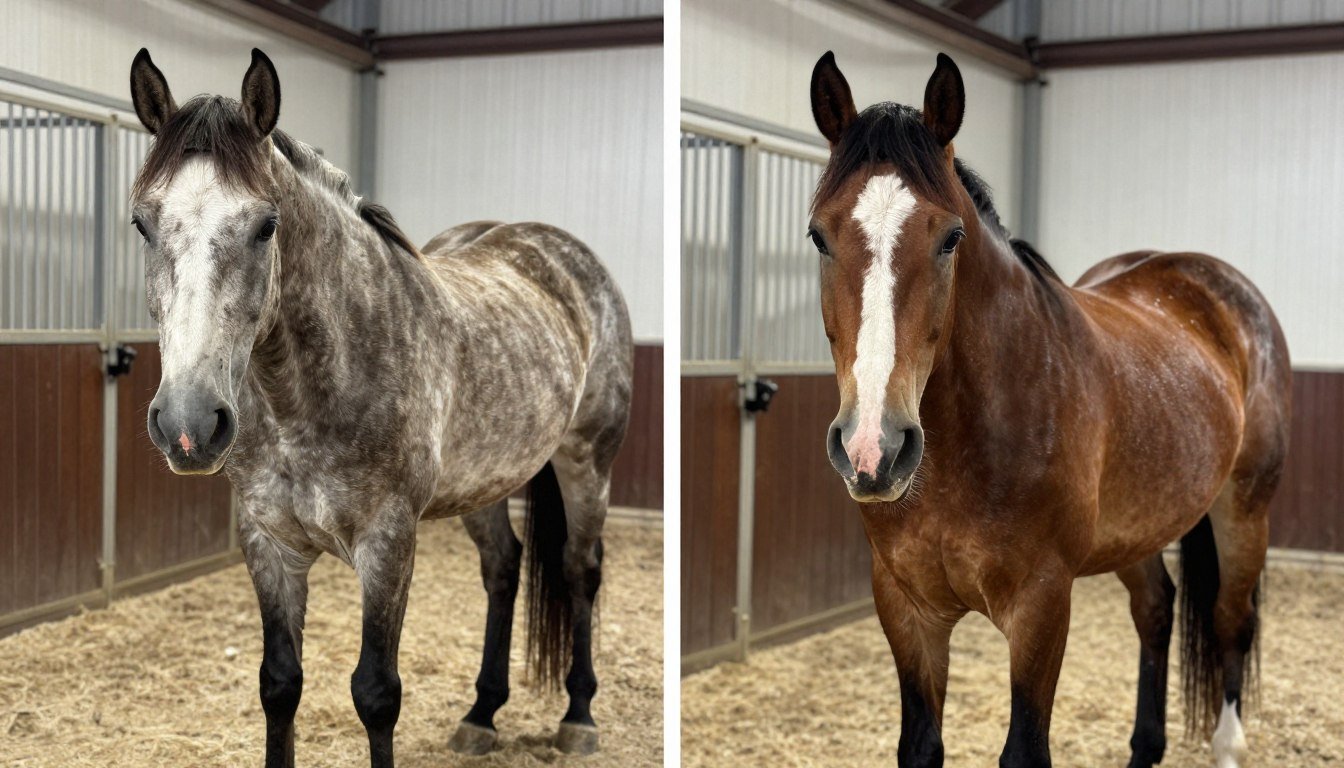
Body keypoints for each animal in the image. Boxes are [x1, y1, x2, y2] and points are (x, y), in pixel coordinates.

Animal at [128, 48, 632, 767]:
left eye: (265, 225)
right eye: (142, 222)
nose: (188, 425)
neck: (304, 398)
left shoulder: (387, 542)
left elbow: (376, 693)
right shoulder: (268, 543)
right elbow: (279, 684)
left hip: (588, 462)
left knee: (579, 569)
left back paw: (579, 717)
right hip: (484, 482)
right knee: (502, 567)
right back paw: (481, 714)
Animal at [806, 51, 1289, 768]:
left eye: (950, 238)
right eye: (818, 236)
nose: (873, 449)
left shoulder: (1040, 606)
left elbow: (1025, 750)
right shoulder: (905, 608)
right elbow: (920, 745)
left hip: (1244, 511)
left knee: (1233, 621)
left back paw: (1227, 743)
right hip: (1138, 526)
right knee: (1157, 610)